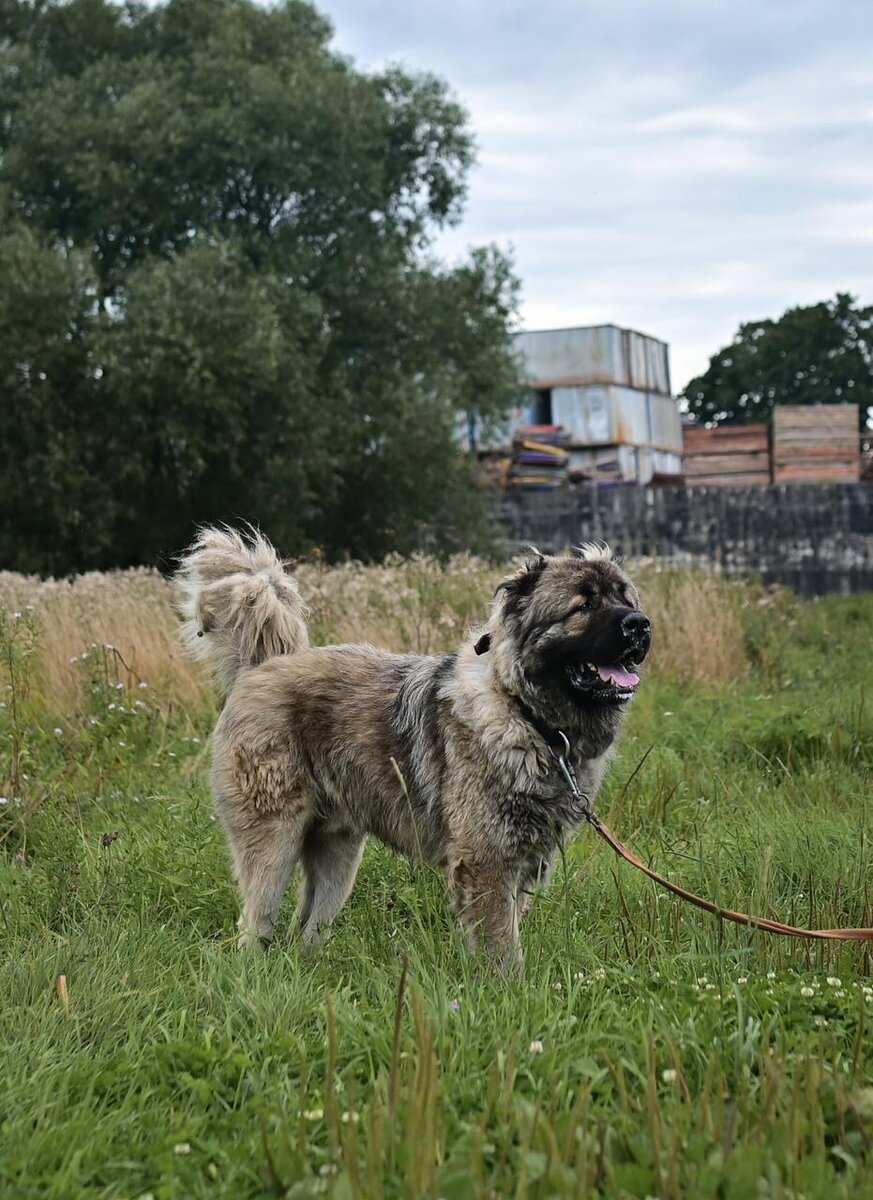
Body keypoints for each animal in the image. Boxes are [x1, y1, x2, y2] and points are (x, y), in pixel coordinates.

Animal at [175, 525, 647, 964]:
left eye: (626, 599)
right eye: (583, 605)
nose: (640, 625)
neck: (525, 713)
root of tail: (262, 668)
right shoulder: (487, 860)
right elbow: (502, 948)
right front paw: (507, 989)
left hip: (338, 856)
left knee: (306, 927)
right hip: (274, 845)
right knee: (254, 927)